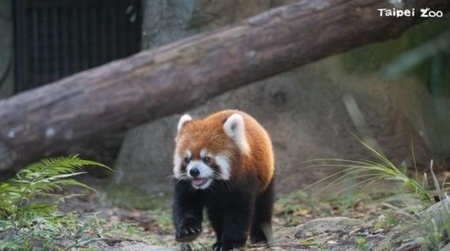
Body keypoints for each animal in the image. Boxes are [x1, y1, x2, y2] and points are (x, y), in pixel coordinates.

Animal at [171, 110, 274, 251]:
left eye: (207, 159)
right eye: (187, 159)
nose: (193, 171)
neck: (214, 186)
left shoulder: (243, 182)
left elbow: (238, 213)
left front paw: (229, 242)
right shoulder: (186, 186)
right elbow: (185, 205)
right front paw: (188, 231)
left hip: (266, 179)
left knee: (262, 208)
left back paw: (261, 238)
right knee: (216, 215)